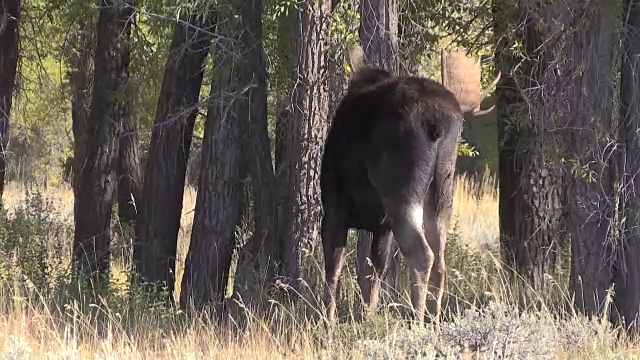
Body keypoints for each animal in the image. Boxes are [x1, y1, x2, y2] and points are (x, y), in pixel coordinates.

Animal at [320, 47, 500, 326]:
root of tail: (437, 121)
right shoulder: (382, 226)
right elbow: (375, 270)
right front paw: (368, 315)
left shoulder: (334, 210)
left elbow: (334, 267)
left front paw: (327, 320)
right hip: (443, 190)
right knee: (440, 257)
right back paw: (433, 319)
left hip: (402, 193)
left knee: (422, 254)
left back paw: (417, 319)